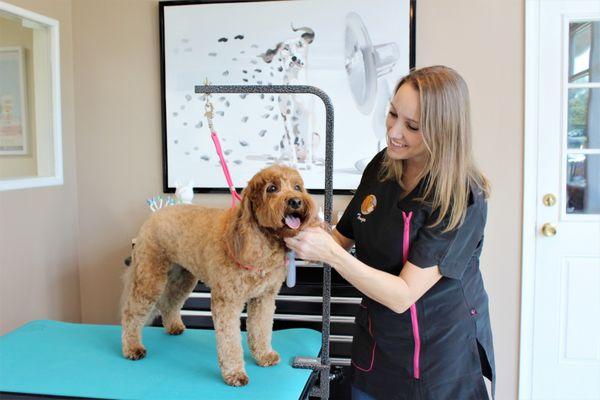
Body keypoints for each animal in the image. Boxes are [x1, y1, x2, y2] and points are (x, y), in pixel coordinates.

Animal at [121, 164, 318, 386]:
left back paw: (173, 326)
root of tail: (154, 216)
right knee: (131, 312)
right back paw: (132, 347)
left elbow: (261, 329)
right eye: (272, 188)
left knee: (169, 303)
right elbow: (230, 341)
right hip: (150, 276)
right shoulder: (227, 301)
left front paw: (264, 355)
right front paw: (234, 373)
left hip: (183, 277)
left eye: (297, 187)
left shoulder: (264, 297)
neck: (261, 241)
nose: (296, 201)